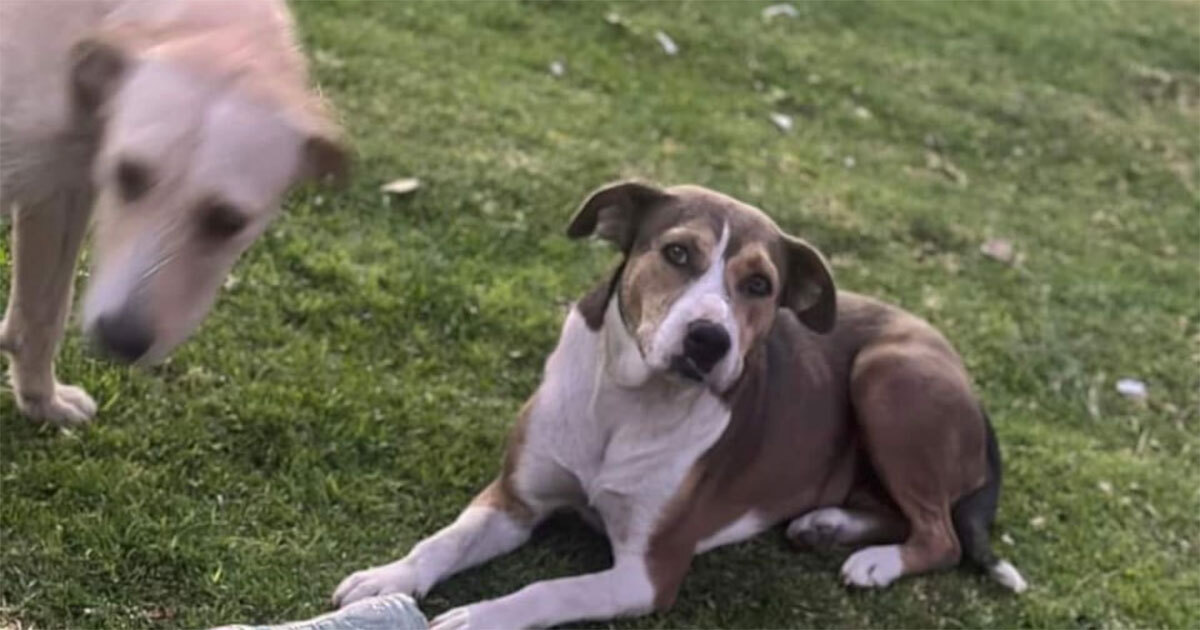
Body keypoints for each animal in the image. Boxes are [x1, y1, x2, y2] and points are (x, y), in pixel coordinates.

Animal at [1, 0, 348, 424]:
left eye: (228, 221)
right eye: (127, 174)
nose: (121, 340)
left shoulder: (62, 187)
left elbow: (43, 312)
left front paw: (41, 400)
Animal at [333, 180, 1027, 628]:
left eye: (759, 285)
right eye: (676, 252)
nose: (708, 340)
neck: (627, 404)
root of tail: (963, 373)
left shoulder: (648, 573)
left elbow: (546, 591)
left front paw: (477, 616)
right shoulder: (515, 498)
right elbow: (443, 541)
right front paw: (387, 578)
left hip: (888, 376)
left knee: (941, 535)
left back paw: (877, 562)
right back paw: (829, 524)